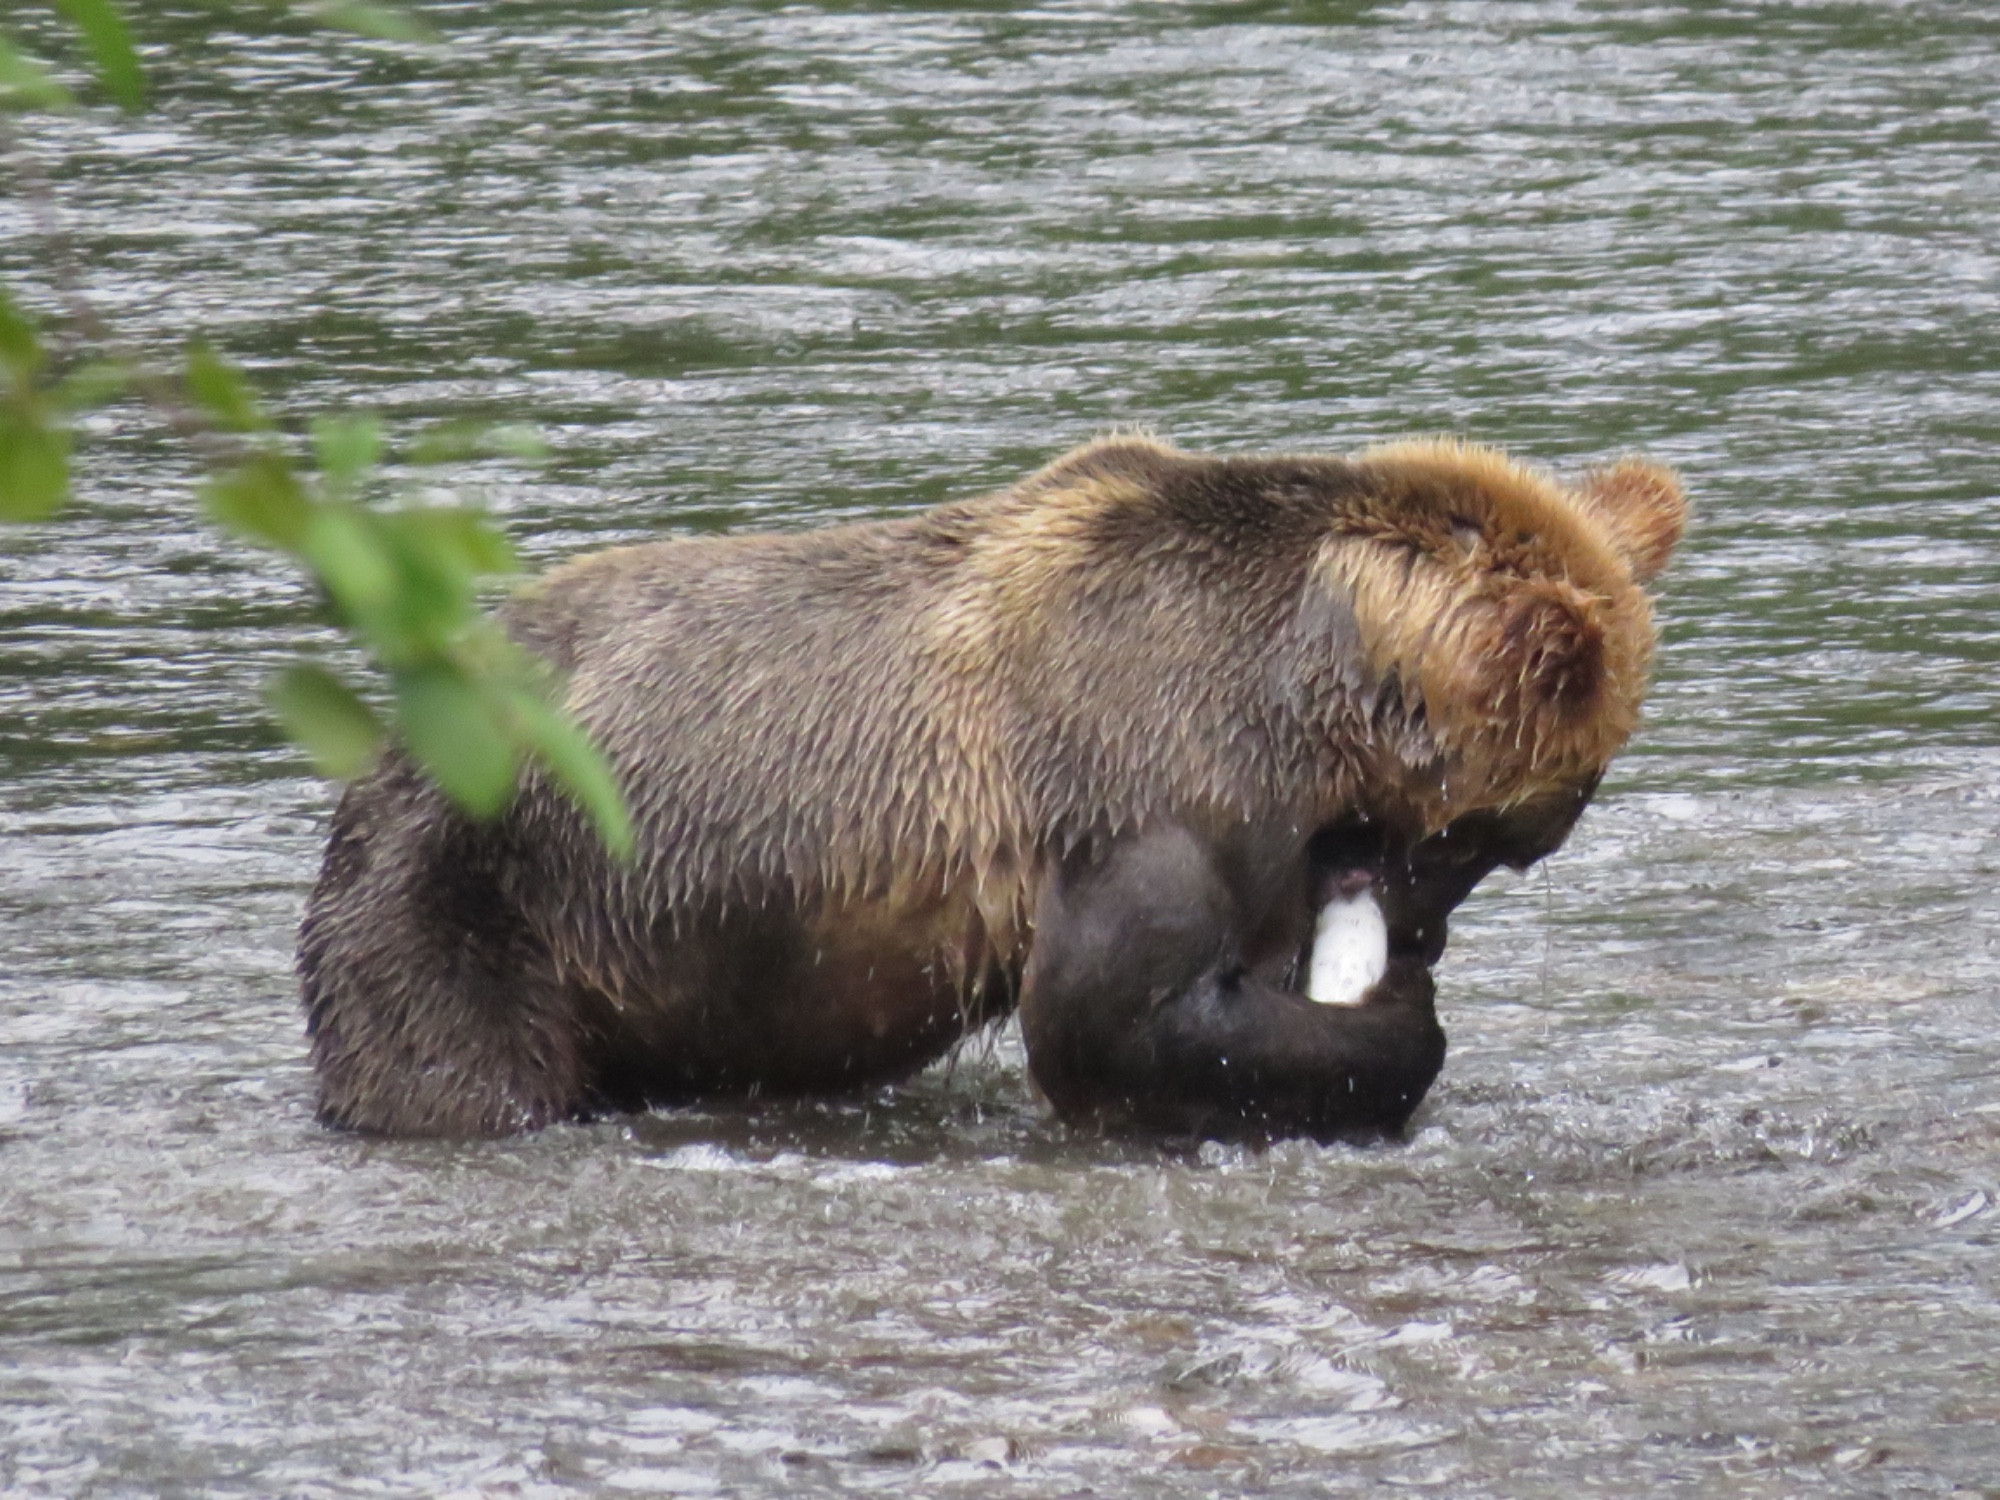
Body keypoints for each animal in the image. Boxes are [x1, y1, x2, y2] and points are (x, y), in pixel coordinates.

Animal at [296, 434, 1688, 1136]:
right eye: (1496, 838)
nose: (1425, 931)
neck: (1302, 684)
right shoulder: (1148, 783)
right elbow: (1110, 1016)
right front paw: (1395, 1026)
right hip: (476, 900)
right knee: (456, 1071)